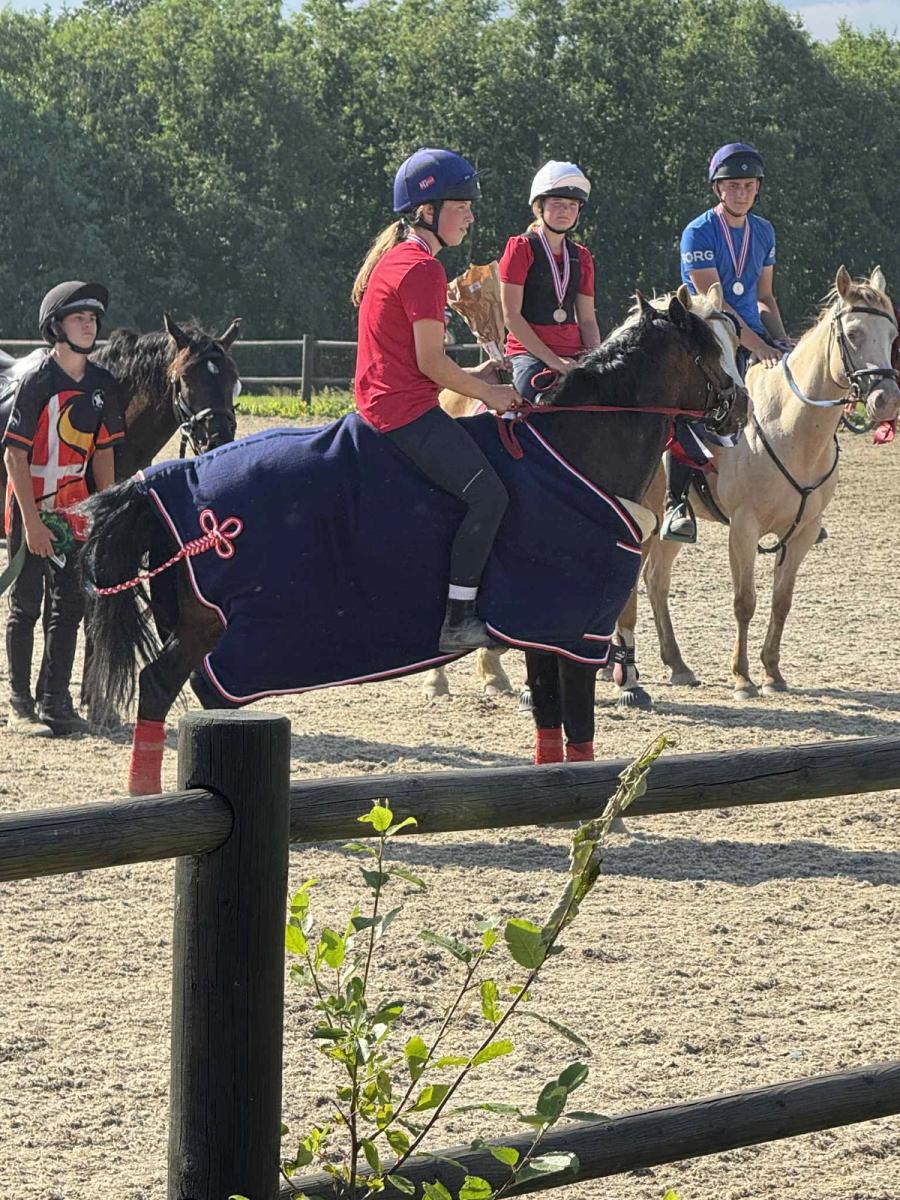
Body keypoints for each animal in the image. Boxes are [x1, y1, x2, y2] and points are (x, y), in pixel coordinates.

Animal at [423, 283, 746, 709]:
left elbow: (620, 606)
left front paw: (625, 677)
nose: (742, 406)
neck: (585, 440)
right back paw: (444, 677)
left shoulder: (631, 538)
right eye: (709, 350)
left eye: (736, 342)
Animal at [617, 266, 900, 701]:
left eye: (892, 335)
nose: (887, 399)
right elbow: (745, 601)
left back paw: (677, 665)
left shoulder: (803, 532)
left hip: (666, 525)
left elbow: (781, 601)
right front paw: (742, 678)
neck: (791, 426)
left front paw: (772, 674)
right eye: (853, 333)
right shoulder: (744, 528)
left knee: (655, 580)